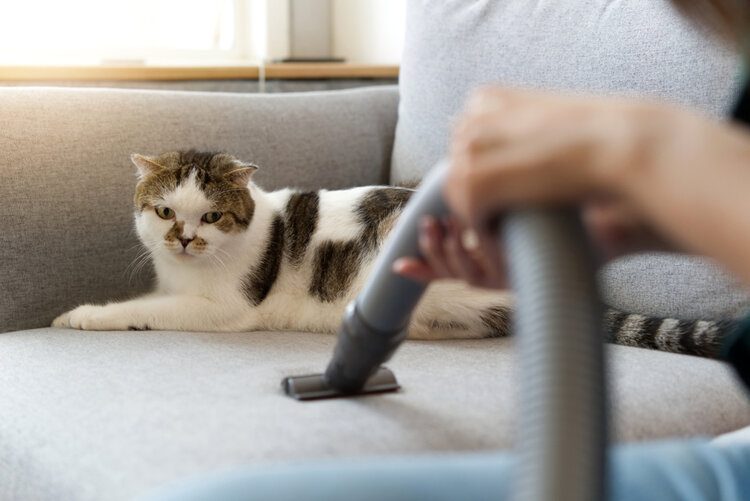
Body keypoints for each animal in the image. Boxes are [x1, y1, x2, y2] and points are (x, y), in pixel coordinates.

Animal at [51, 150, 512, 340]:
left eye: (212, 217)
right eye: (165, 212)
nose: (183, 238)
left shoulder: (226, 308)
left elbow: (143, 308)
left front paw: (83, 315)